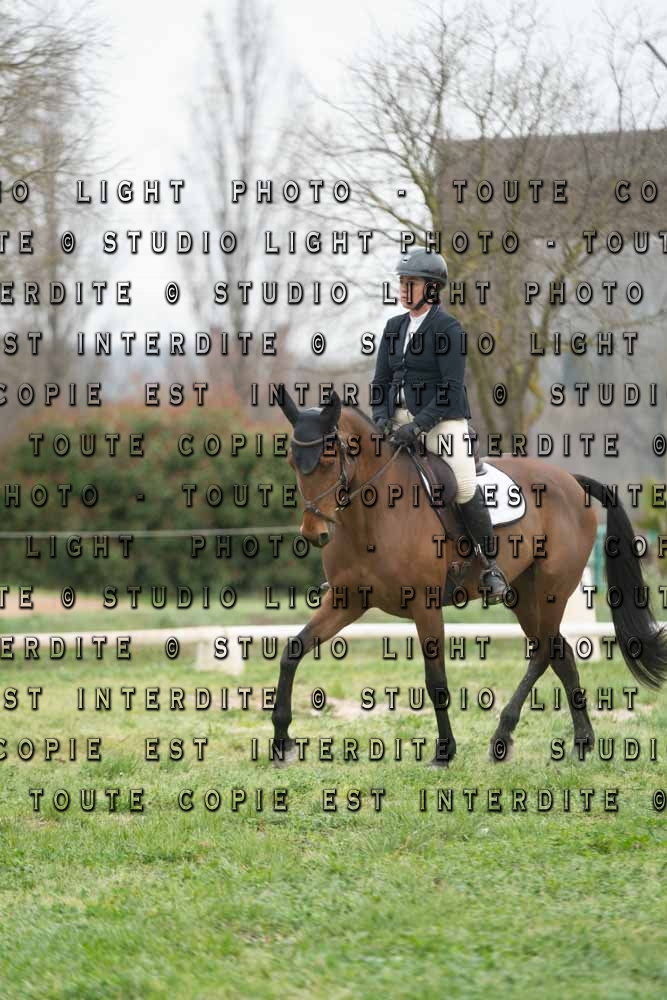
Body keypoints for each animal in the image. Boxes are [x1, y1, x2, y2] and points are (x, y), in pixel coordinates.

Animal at [271, 387, 667, 766]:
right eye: (291, 461)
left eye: (327, 459)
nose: (314, 533)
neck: (371, 515)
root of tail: (571, 481)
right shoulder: (347, 600)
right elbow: (292, 651)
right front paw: (281, 742)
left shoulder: (425, 605)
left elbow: (436, 680)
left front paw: (444, 752)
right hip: (524, 594)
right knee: (560, 653)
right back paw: (581, 742)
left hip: (552, 589)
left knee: (543, 653)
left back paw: (502, 736)